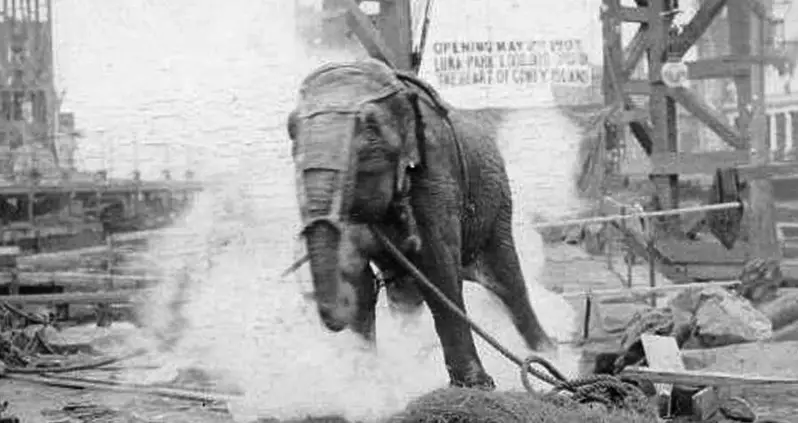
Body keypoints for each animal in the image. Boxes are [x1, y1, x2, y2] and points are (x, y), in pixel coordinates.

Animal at [286, 58, 555, 390]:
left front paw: (476, 387)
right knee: (404, 294)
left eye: (370, 129)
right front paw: (366, 382)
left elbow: (437, 269)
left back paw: (549, 355)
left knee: (508, 282)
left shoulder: (436, 174)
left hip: (497, 205)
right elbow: (357, 276)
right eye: (291, 130)